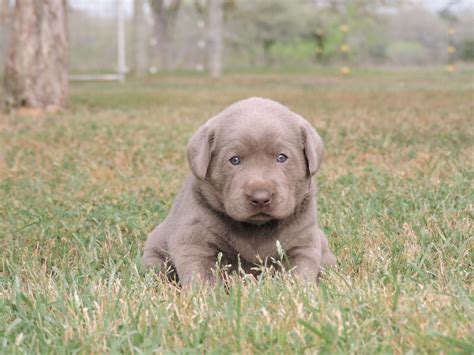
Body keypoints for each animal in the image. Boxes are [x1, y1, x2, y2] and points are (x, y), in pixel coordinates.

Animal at [144, 97, 336, 286]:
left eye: (282, 157)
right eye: (234, 160)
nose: (260, 198)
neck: (257, 228)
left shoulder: (303, 244)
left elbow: (300, 275)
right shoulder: (195, 243)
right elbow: (202, 277)